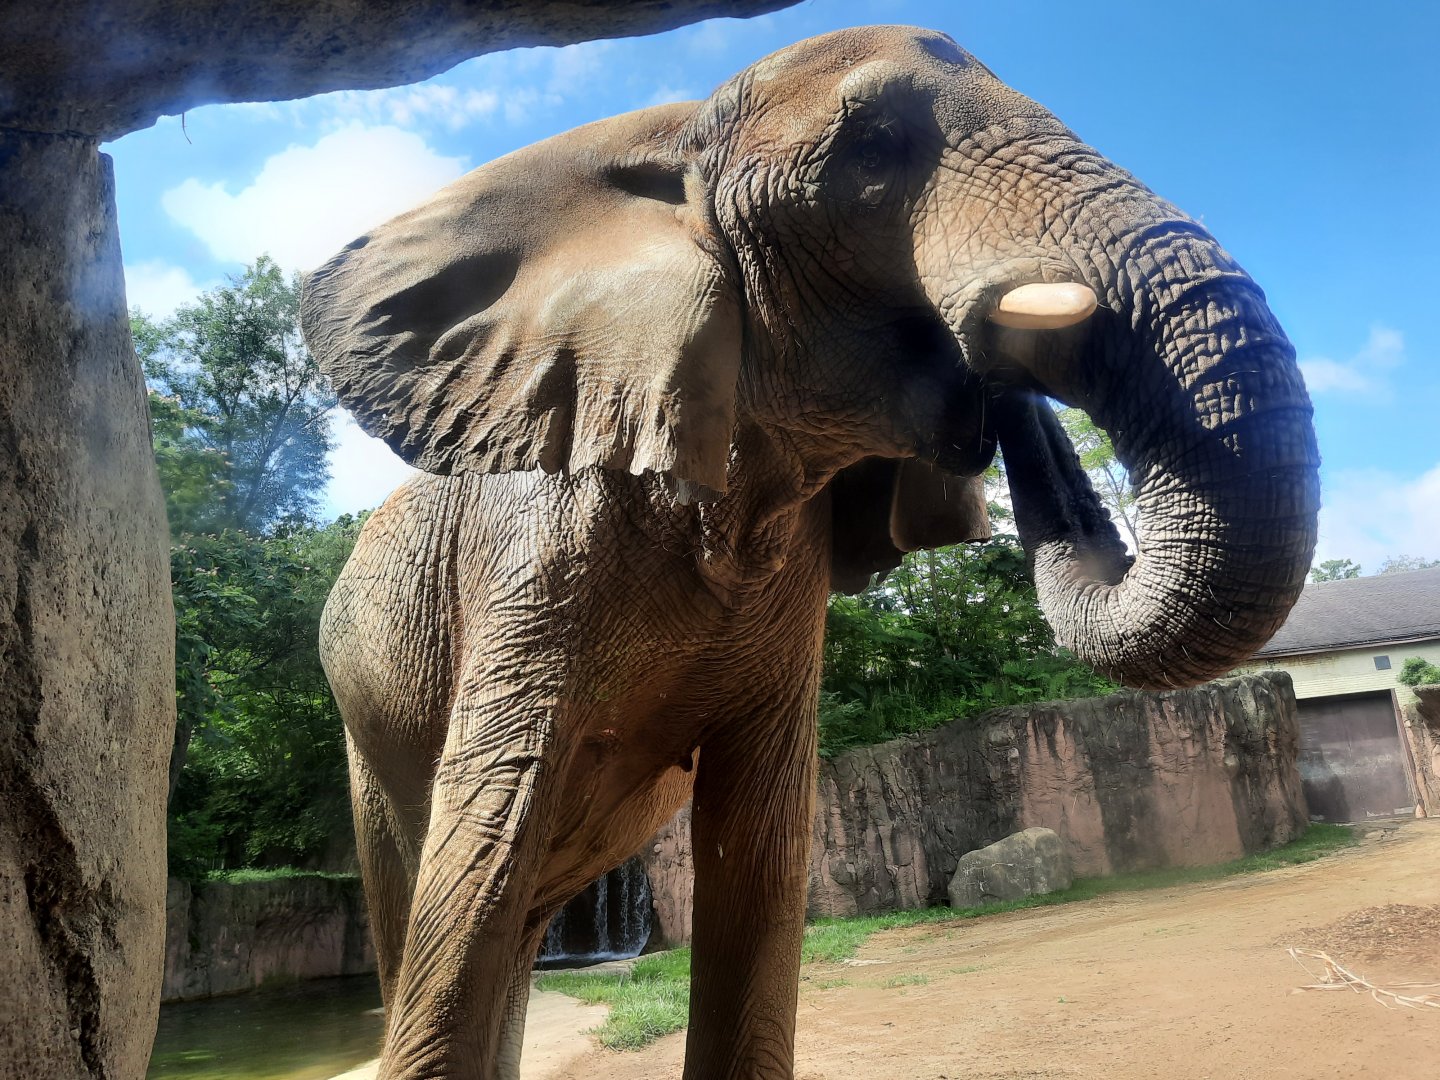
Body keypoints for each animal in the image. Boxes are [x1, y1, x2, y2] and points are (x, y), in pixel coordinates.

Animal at [300, 25, 1319, 1079]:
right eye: (871, 150)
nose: (994, 375)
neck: (674, 133)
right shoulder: (531, 564)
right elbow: (485, 847)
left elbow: (759, 854)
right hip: (364, 725)